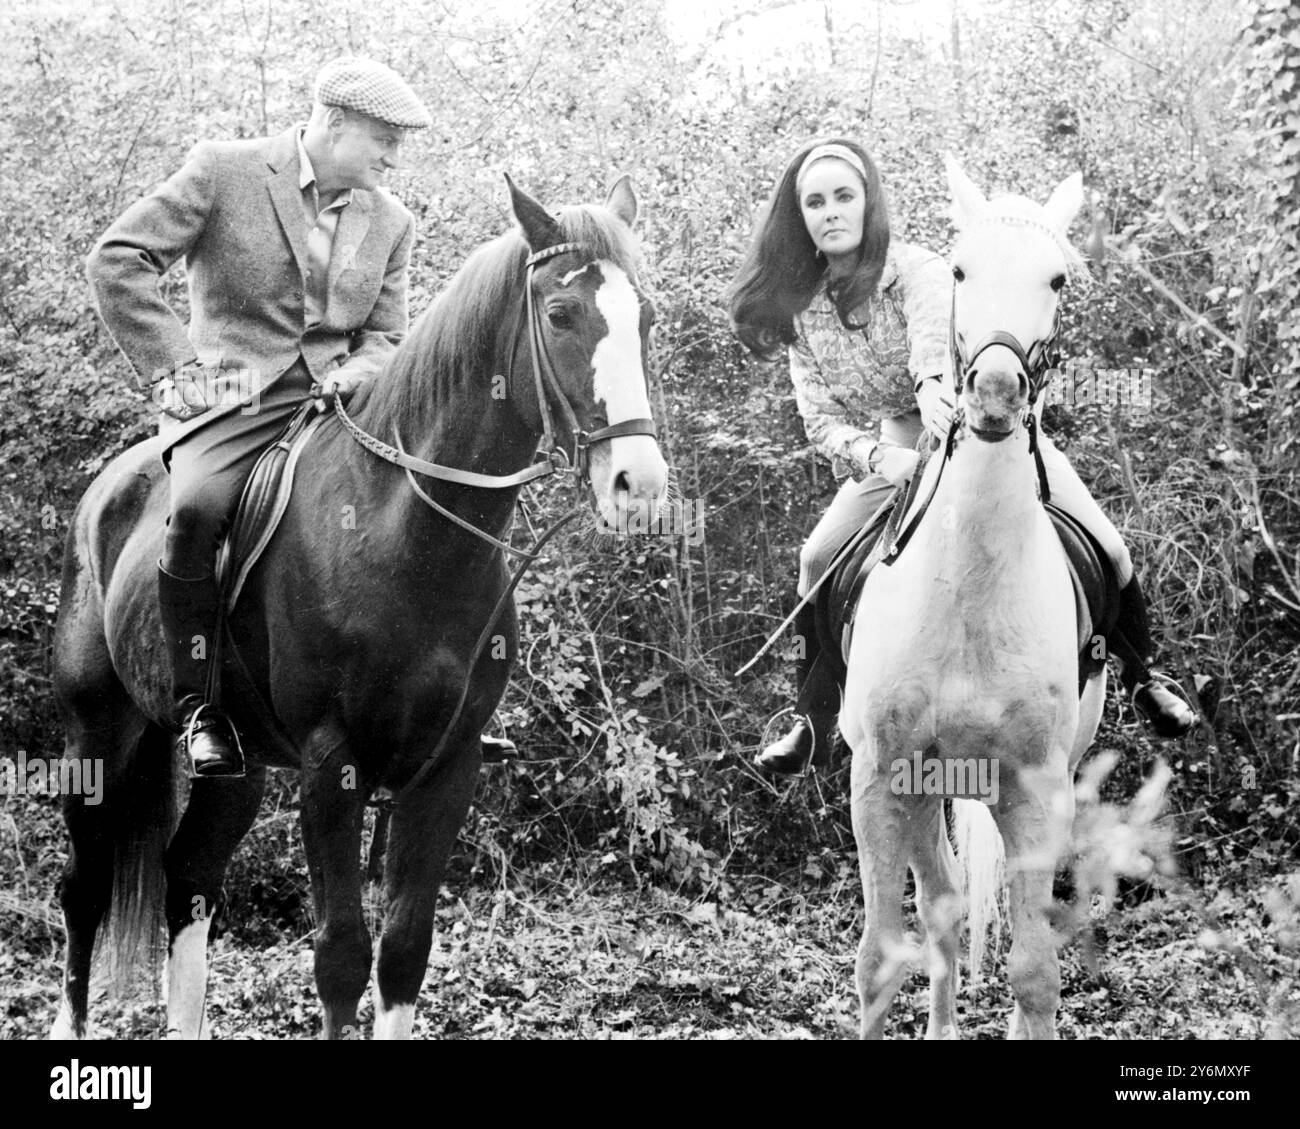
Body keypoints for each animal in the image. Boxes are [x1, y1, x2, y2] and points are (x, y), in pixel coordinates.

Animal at [48, 178, 670, 1040]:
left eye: (645, 318)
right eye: (561, 313)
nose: (639, 486)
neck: (404, 531)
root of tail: (110, 487)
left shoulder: (448, 768)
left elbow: (404, 948)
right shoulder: (330, 765)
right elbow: (341, 954)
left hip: (237, 766)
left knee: (189, 879)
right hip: (98, 733)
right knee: (85, 888)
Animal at [842, 158, 1107, 1040]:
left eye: (1057, 279)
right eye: (959, 271)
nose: (993, 390)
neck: (967, 595)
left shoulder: (1036, 791)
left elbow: (1034, 973)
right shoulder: (879, 780)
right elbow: (879, 959)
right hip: (927, 792)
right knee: (946, 903)